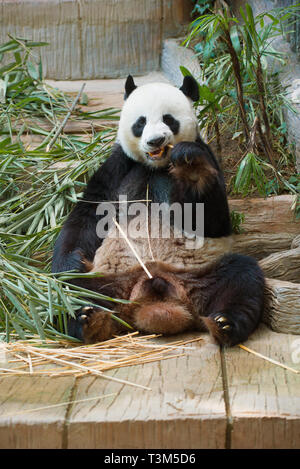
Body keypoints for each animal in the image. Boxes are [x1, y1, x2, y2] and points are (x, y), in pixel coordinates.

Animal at [52, 75, 264, 346]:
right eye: (140, 122)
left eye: (168, 119)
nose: (155, 141)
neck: (156, 166)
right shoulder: (118, 166)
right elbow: (89, 214)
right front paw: (71, 261)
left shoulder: (208, 157)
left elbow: (212, 221)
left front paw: (191, 170)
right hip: (108, 280)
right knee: (71, 290)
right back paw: (87, 320)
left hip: (201, 275)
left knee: (242, 276)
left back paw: (225, 324)